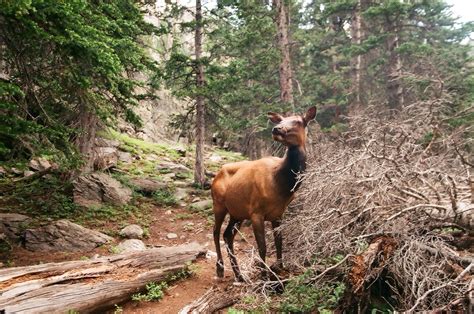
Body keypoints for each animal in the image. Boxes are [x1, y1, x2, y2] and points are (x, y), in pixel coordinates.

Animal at [210, 105, 314, 280]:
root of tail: (216, 175)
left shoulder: (278, 213)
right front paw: (264, 275)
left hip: (237, 212)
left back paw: (239, 275)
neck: (280, 186)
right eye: (280, 119)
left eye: (299, 121)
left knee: (227, 234)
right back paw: (220, 268)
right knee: (216, 232)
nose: (276, 129)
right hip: (218, 204)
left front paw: (280, 268)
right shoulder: (256, 212)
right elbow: (262, 246)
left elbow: (279, 242)